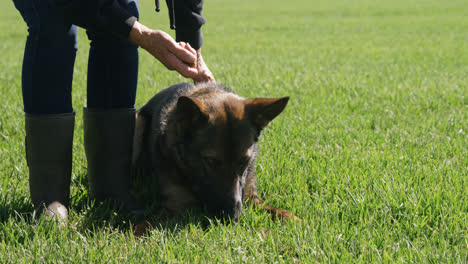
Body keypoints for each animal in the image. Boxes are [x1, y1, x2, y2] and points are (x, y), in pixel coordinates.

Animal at [133, 82, 300, 225]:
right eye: (211, 161)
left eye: (244, 161)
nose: (233, 216)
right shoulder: (173, 206)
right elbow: (143, 226)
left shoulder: (252, 198)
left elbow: (282, 213)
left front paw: (297, 221)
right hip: (138, 122)